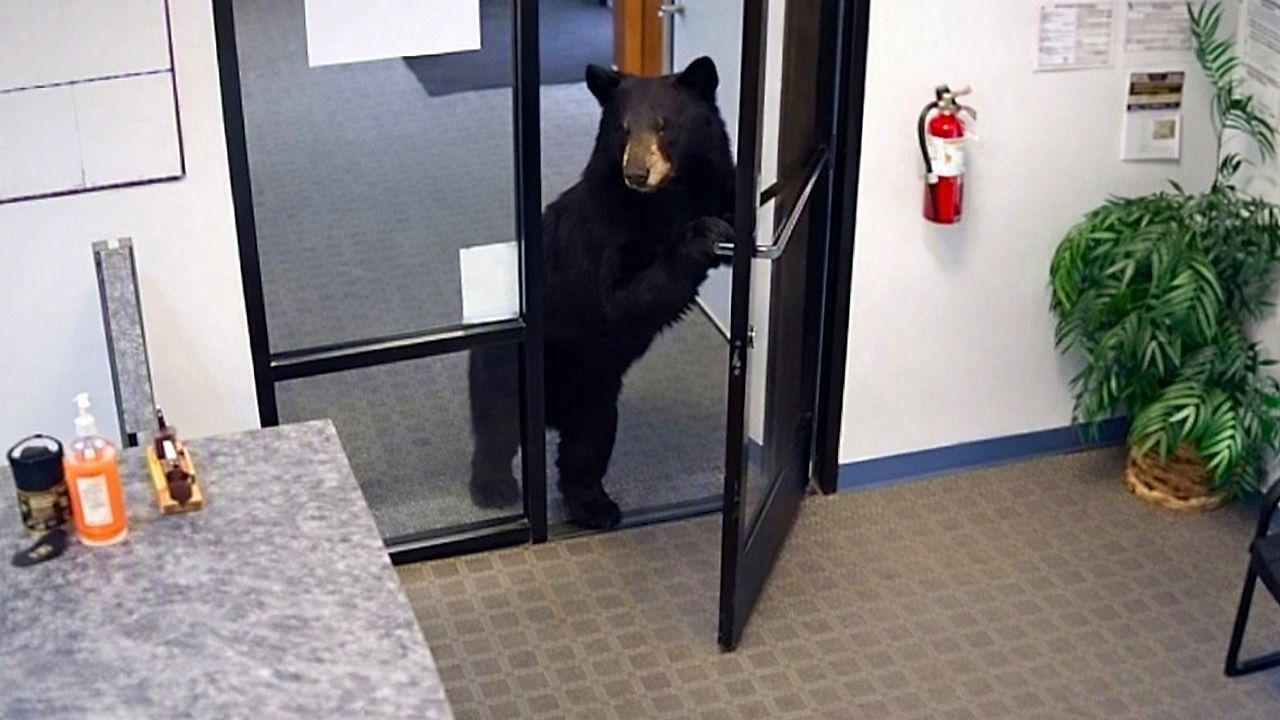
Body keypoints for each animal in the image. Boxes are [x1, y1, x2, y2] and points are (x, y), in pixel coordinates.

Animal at [467, 56, 735, 530]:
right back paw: (494, 488)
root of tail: (553, 413)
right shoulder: (603, 228)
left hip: (597, 396)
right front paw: (701, 235)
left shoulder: (711, 181)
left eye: (664, 125)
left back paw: (595, 506)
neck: (666, 197)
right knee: (496, 426)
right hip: (504, 365)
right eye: (623, 128)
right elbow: (620, 295)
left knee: (586, 450)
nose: (636, 173)